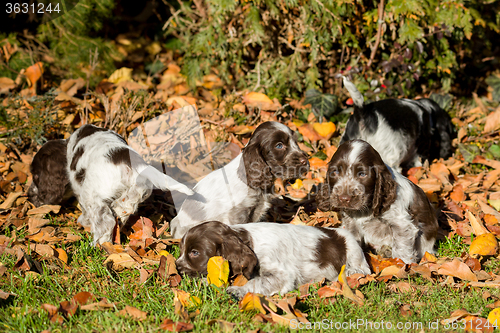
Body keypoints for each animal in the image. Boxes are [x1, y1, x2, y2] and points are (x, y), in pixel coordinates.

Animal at [176, 220, 372, 296]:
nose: (177, 268)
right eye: (181, 250)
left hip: (353, 250)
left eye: (195, 252)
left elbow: (257, 282)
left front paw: (238, 290)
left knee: (361, 269)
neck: (248, 242)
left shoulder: (280, 273)